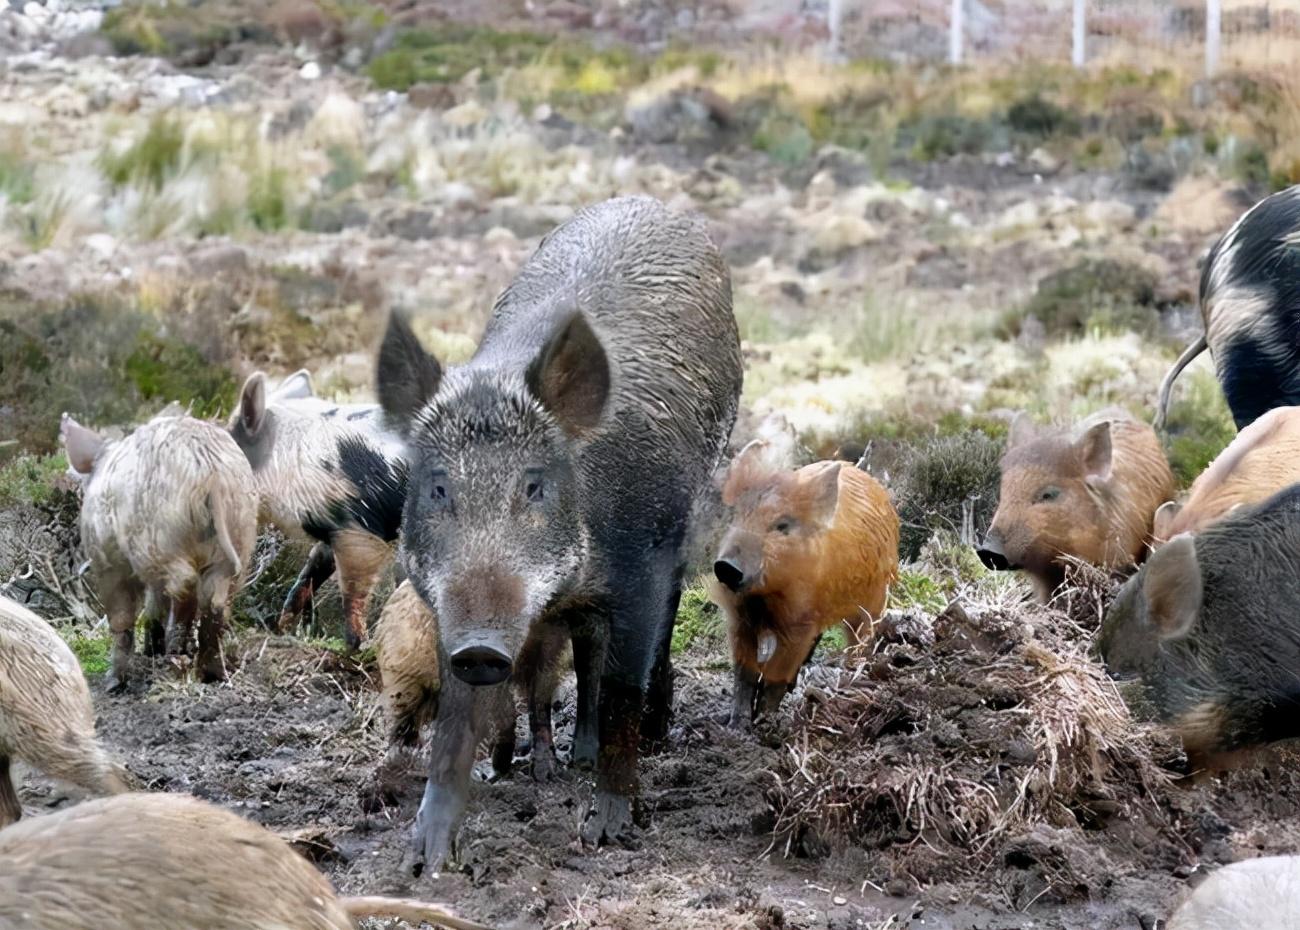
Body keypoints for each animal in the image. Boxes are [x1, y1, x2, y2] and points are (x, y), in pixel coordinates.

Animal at [377, 195, 743, 858]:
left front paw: (605, 832)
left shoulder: (642, 567)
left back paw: (649, 739)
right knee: (586, 647)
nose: (481, 645)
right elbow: (457, 711)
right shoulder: (439, 597)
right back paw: (576, 756)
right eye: (438, 487)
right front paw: (425, 854)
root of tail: (651, 202)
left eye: (534, 485)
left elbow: (623, 685)